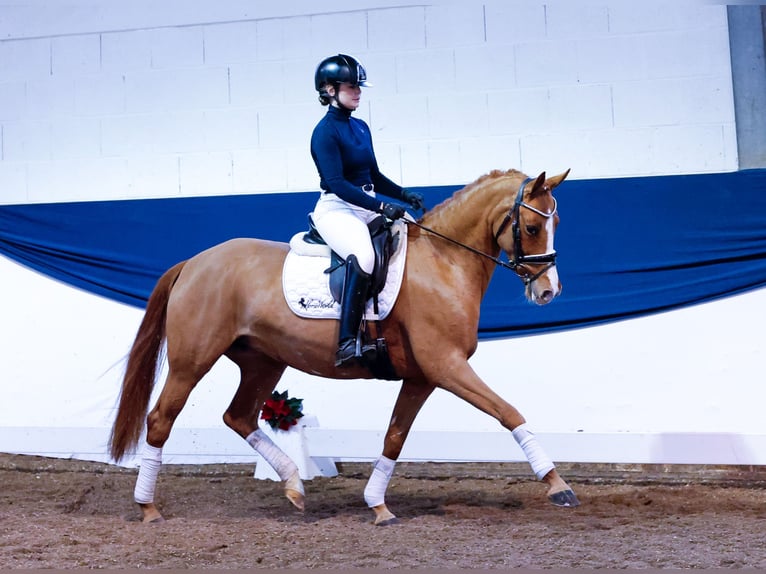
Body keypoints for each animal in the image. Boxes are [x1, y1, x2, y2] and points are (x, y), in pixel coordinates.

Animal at [106, 168, 576, 528]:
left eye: (555, 226)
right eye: (532, 227)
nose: (549, 291)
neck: (444, 262)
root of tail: (194, 262)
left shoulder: (422, 377)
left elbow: (394, 438)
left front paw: (379, 506)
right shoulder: (446, 366)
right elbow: (508, 412)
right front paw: (558, 486)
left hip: (263, 362)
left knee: (238, 416)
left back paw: (294, 486)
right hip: (192, 361)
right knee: (160, 419)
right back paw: (148, 507)